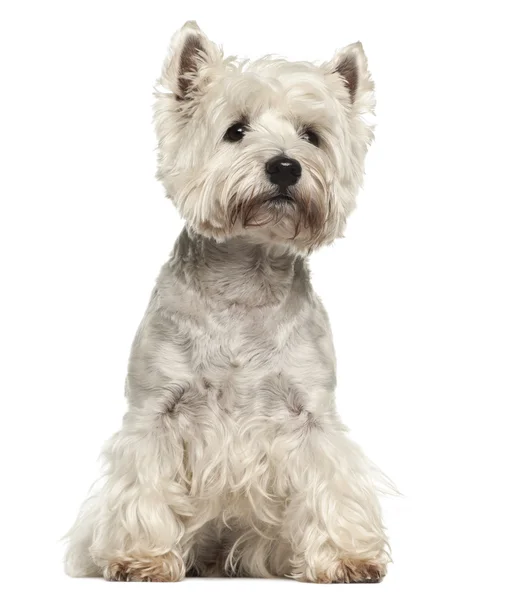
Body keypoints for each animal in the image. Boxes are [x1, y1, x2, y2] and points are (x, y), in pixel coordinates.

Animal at [63, 22, 388, 580]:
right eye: (235, 130)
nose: (285, 167)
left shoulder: (312, 415)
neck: (243, 281)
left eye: (311, 135)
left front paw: (346, 555)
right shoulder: (157, 412)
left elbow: (331, 480)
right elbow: (144, 485)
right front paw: (143, 556)